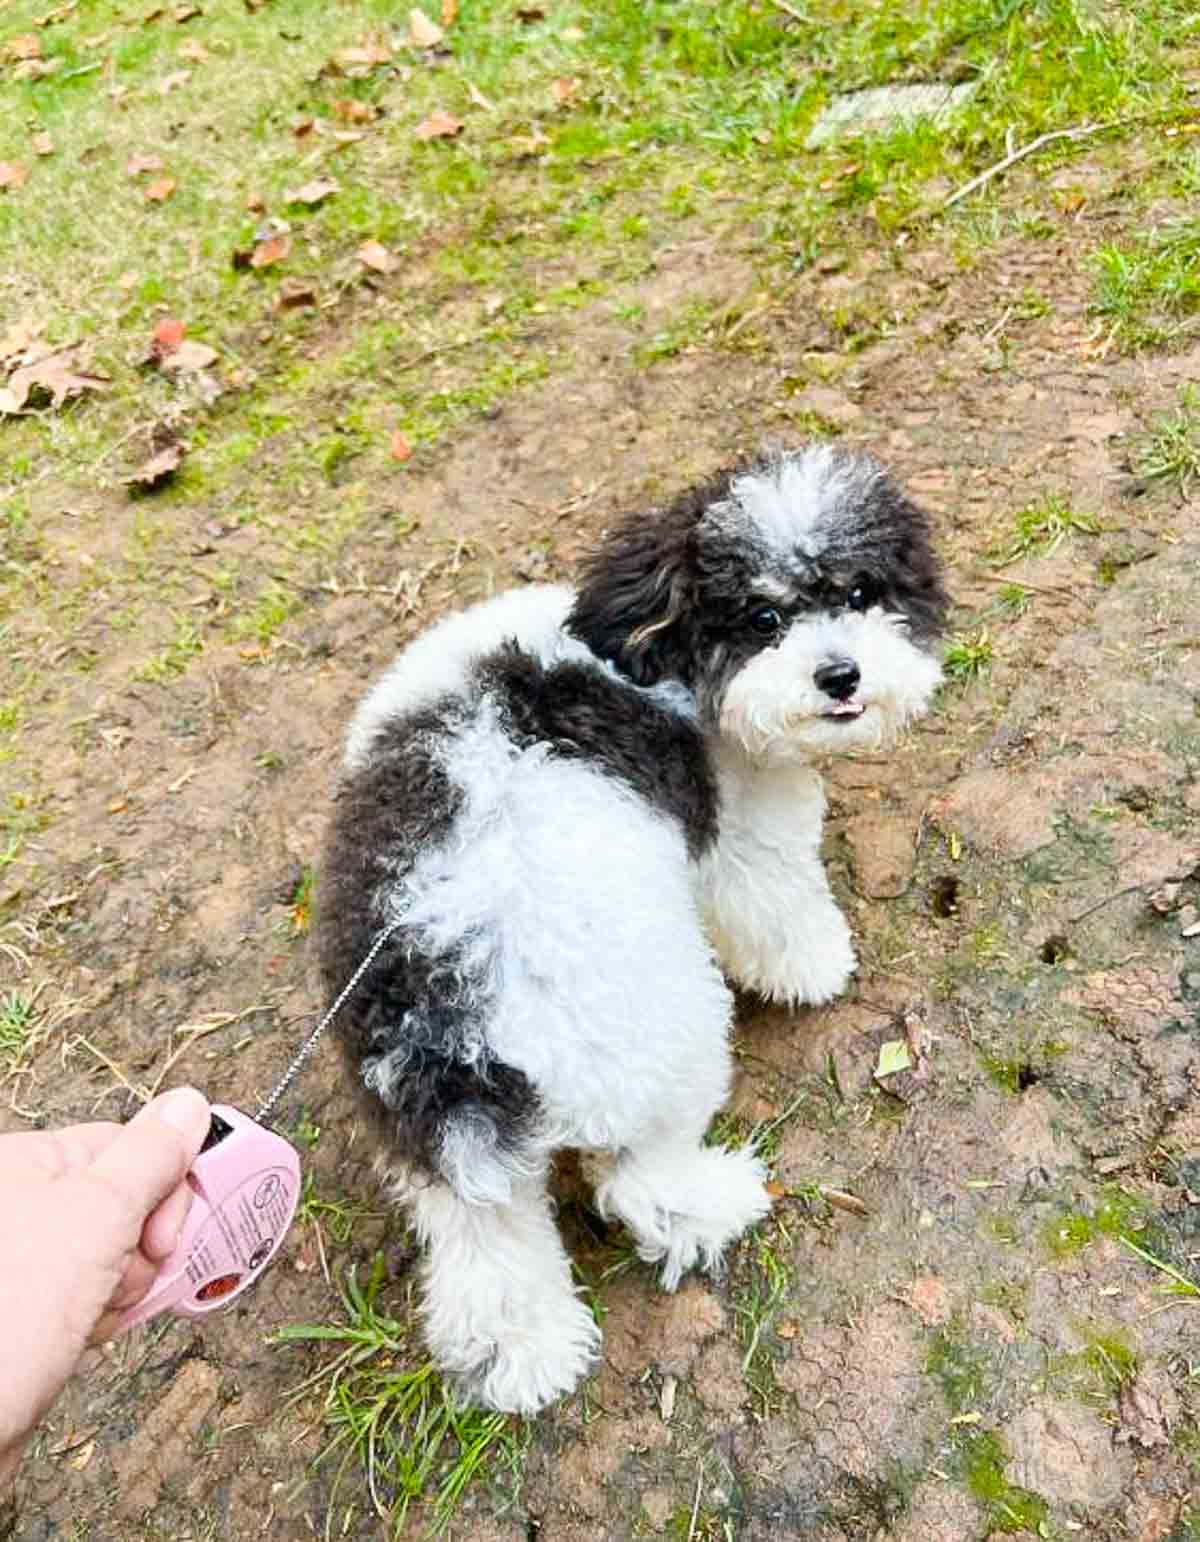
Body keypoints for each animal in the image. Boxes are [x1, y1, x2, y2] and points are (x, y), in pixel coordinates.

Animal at [316, 444, 943, 1412]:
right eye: (763, 618)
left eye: (860, 593)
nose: (840, 676)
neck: (647, 647)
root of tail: (451, 994)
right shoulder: (740, 833)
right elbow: (774, 906)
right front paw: (816, 965)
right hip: (665, 1049)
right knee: (640, 1185)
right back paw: (718, 1199)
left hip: (433, 1133)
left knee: (486, 1243)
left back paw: (523, 1355)